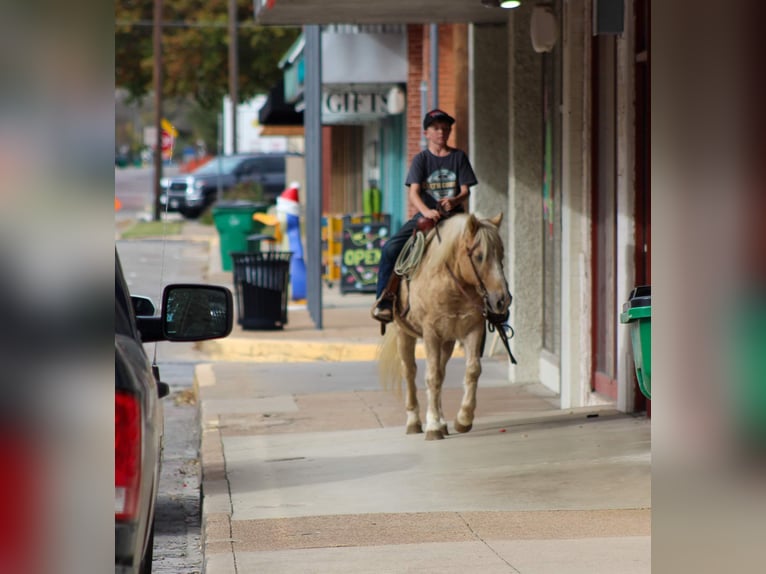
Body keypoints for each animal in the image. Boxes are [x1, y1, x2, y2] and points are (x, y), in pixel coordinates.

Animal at [378, 212, 511, 440]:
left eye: (501, 254)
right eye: (479, 256)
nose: (503, 300)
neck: (452, 285)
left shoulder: (473, 330)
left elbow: (472, 370)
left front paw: (463, 419)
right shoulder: (431, 333)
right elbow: (432, 377)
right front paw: (432, 426)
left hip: (447, 341)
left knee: (440, 371)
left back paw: (441, 422)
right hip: (405, 334)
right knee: (410, 371)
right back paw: (414, 421)